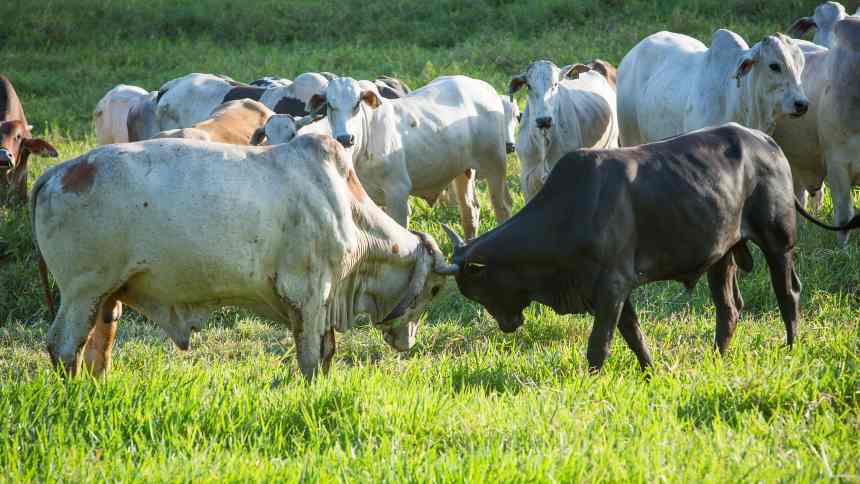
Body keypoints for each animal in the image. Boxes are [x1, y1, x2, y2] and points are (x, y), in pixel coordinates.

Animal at [306, 75, 512, 240]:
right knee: (470, 212)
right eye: (330, 105)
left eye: (356, 104)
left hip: (495, 166)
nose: (345, 138)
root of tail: (483, 86)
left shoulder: (398, 193)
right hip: (464, 171)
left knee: (502, 208)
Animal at [444, 123, 860, 372]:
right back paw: (717, 357)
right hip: (721, 256)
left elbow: (600, 343)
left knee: (787, 293)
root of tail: (766, 141)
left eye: (478, 287)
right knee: (729, 310)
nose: (508, 325)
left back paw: (790, 347)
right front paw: (650, 370)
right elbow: (633, 334)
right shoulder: (614, 290)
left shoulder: (612, 285)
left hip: (778, 242)